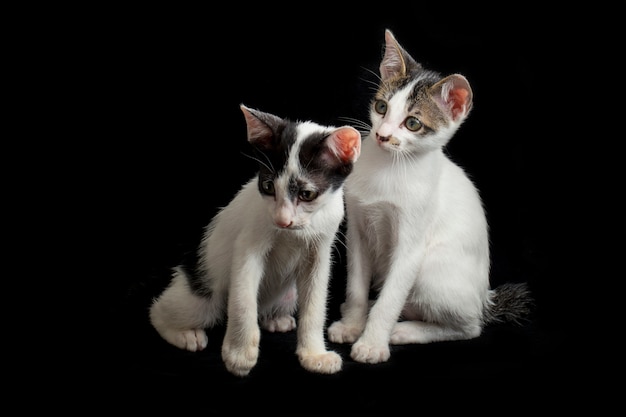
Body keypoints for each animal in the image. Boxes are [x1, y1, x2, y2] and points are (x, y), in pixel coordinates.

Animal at [150, 103, 360, 374]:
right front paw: (239, 354)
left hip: (289, 294)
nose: (282, 221)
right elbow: (243, 300)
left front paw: (314, 355)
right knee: (160, 310)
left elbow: (315, 302)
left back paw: (276, 319)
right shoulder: (248, 244)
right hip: (202, 296)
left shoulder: (320, 250)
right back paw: (185, 334)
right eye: (268, 186)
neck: (294, 233)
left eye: (307, 194)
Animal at [326, 29, 532, 362]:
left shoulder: (411, 245)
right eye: (381, 107)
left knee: (469, 327)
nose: (382, 135)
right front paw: (352, 325)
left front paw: (372, 344)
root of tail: (485, 300)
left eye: (413, 123)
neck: (388, 167)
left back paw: (405, 330)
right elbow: (356, 285)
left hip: (431, 271)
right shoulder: (357, 229)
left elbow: (390, 300)